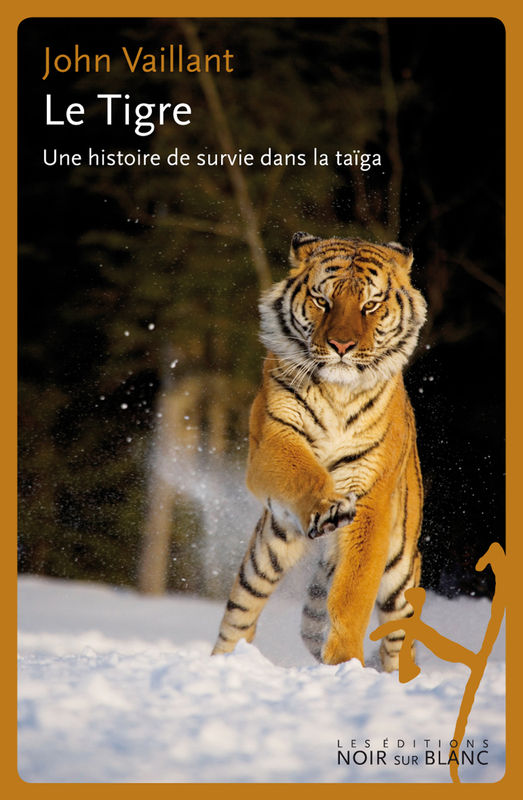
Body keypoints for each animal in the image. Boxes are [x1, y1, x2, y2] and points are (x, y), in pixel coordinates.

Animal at [211, 232, 427, 671]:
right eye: (322, 300)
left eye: (370, 305)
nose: (342, 344)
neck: (337, 393)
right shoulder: (272, 442)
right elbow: (303, 472)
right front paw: (327, 508)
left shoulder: (371, 497)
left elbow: (352, 594)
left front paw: (344, 663)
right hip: (264, 556)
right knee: (238, 618)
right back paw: (224, 664)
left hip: (401, 577)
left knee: (399, 639)